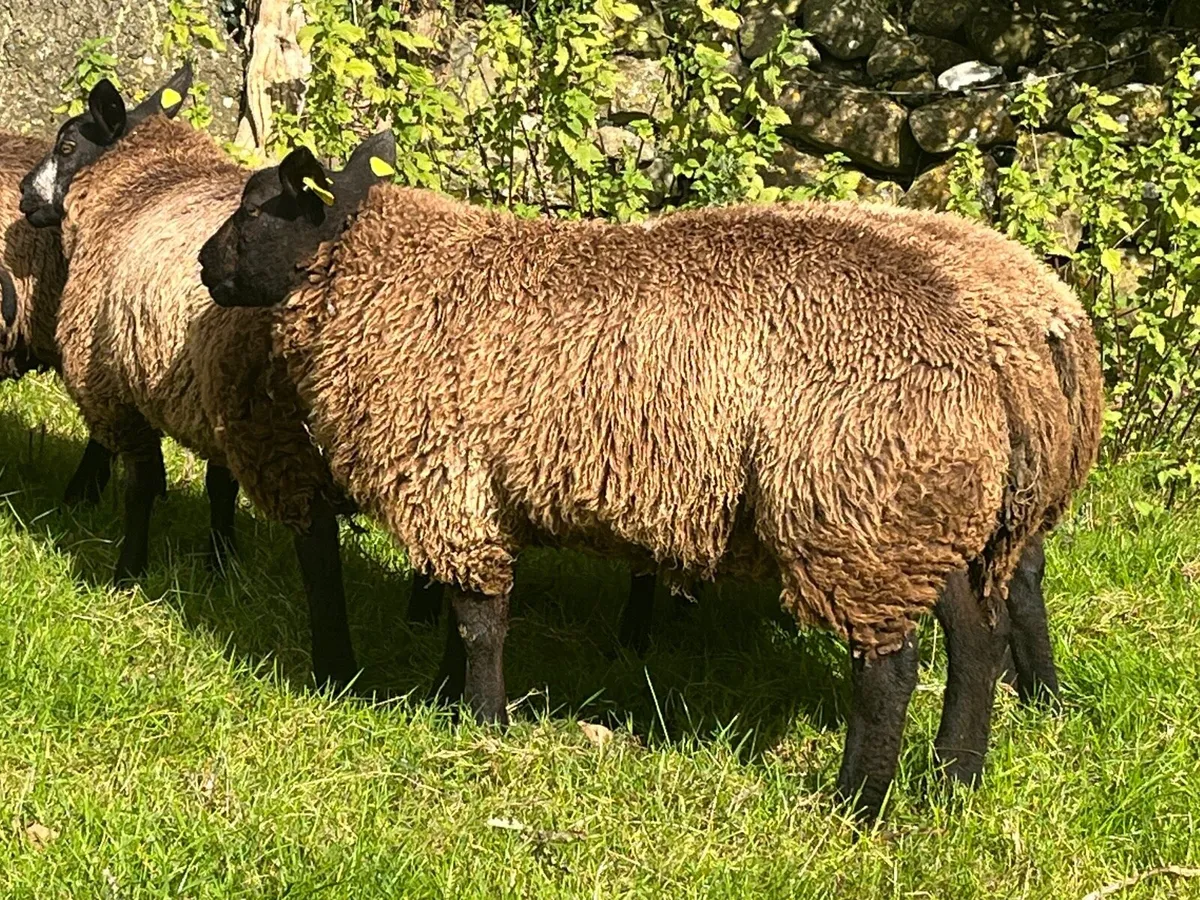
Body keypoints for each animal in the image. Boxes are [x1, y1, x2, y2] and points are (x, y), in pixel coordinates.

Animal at [198, 135, 1102, 820]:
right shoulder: (470, 494)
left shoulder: (446, 479)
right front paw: (447, 698)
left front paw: (482, 724)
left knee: (892, 668)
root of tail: (991, 344)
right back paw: (957, 779)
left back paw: (858, 804)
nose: (205, 265)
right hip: (925, 513)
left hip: (857, 514)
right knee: (977, 641)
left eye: (257, 209)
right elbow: (467, 614)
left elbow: (482, 624)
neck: (385, 275)